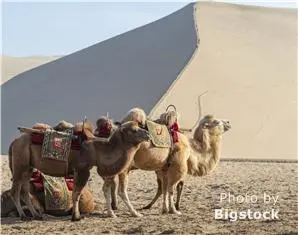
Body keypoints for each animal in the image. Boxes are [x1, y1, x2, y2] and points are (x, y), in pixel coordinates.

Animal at [8, 120, 150, 221]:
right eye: (133, 130)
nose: (147, 134)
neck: (98, 150)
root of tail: (14, 142)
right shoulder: (83, 169)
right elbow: (76, 193)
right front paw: (76, 217)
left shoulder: (79, 171)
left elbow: (77, 192)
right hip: (20, 164)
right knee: (15, 191)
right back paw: (23, 216)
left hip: (28, 167)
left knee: (24, 191)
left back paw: (36, 215)